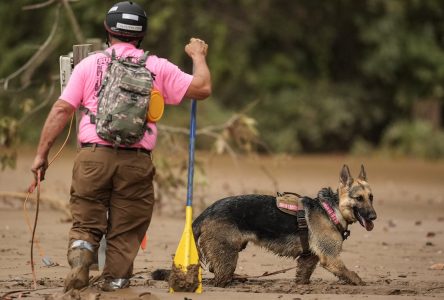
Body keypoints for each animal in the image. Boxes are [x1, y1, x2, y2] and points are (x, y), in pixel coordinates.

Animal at [193, 165, 376, 288]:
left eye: (371, 197)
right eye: (359, 198)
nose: (374, 217)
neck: (332, 209)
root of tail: (207, 211)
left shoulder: (309, 259)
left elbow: (303, 276)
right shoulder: (331, 258)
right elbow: (352, 274)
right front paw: (362, 284)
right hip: (228, 257)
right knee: (219, 279)